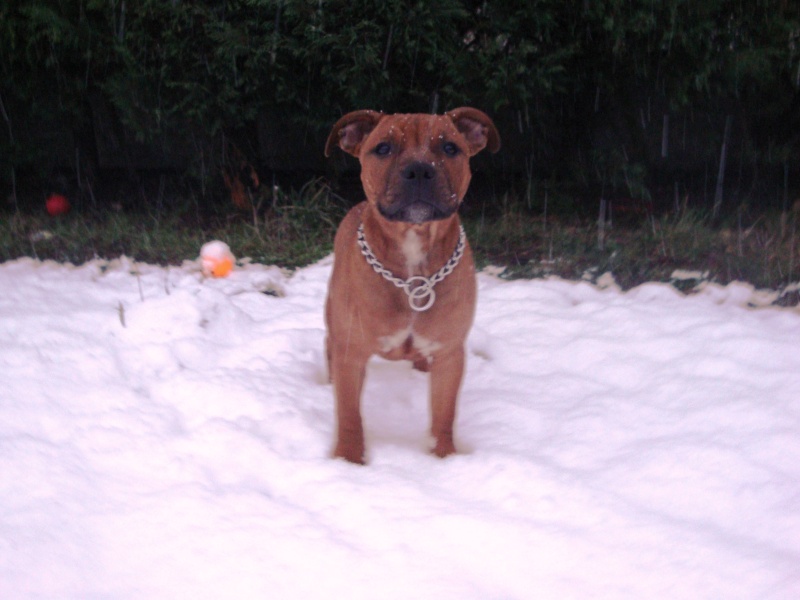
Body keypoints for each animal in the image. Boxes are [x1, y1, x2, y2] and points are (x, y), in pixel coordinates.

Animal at [324, 108, 500, 464]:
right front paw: (348, 462)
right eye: (383, 148)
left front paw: (444, 457)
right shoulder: (351, 352)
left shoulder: (449, 353)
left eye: (449, 148)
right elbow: (349, 415)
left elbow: (444, 414)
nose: (419, 169)